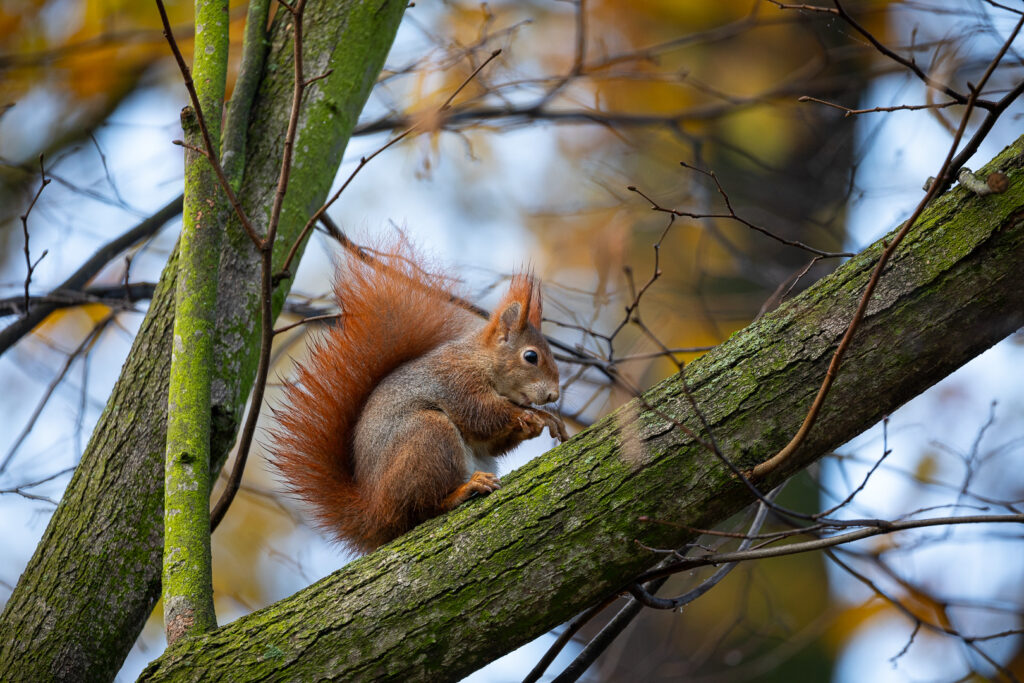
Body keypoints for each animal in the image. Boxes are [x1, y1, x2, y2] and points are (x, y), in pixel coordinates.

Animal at [270, 244, 567, 553]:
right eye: (531, 356)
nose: (554, 394)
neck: (479, 360)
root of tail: (374, 511)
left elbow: (491, 442)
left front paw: (539, 422)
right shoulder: (457, 383)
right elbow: (482, 415)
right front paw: (535, 415)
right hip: (428, 436)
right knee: (423, 509)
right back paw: (464, 490)